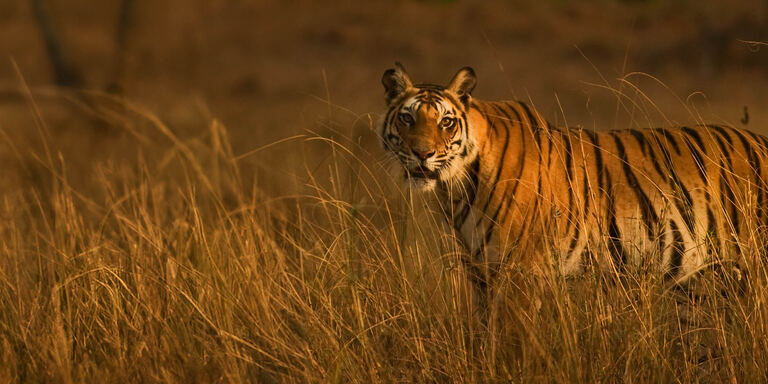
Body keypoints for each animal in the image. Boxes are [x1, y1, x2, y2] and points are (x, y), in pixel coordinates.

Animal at [378, 63, 768, 292]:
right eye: (407, 118)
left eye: (446, 122)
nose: (423, 154)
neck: (457, 187)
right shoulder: (480, 273)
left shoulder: (518, 270)